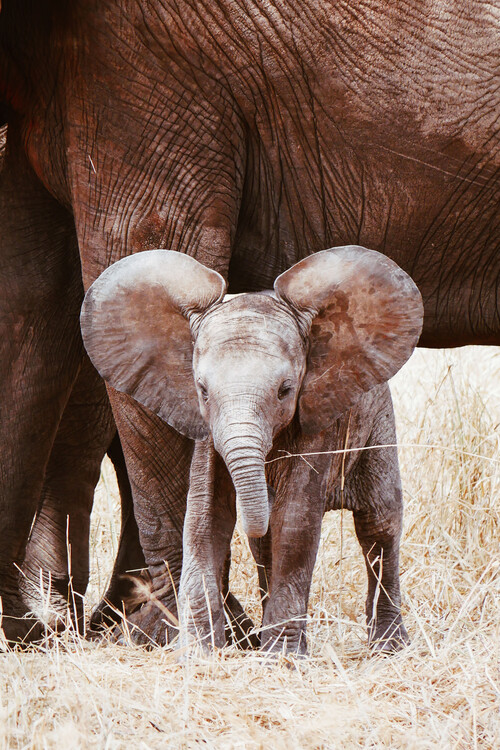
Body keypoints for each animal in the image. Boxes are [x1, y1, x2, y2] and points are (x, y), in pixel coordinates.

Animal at [81, 246, 424, 653]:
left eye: (285, 390)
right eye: (202, 390)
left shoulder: (317, 419)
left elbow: (294, 520)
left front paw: (283, 658)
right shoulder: (208, 435)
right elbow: (204, 518)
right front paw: (201, 654)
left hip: (377, 422)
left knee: (379, 524)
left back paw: (389, 647)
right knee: (265, 549)